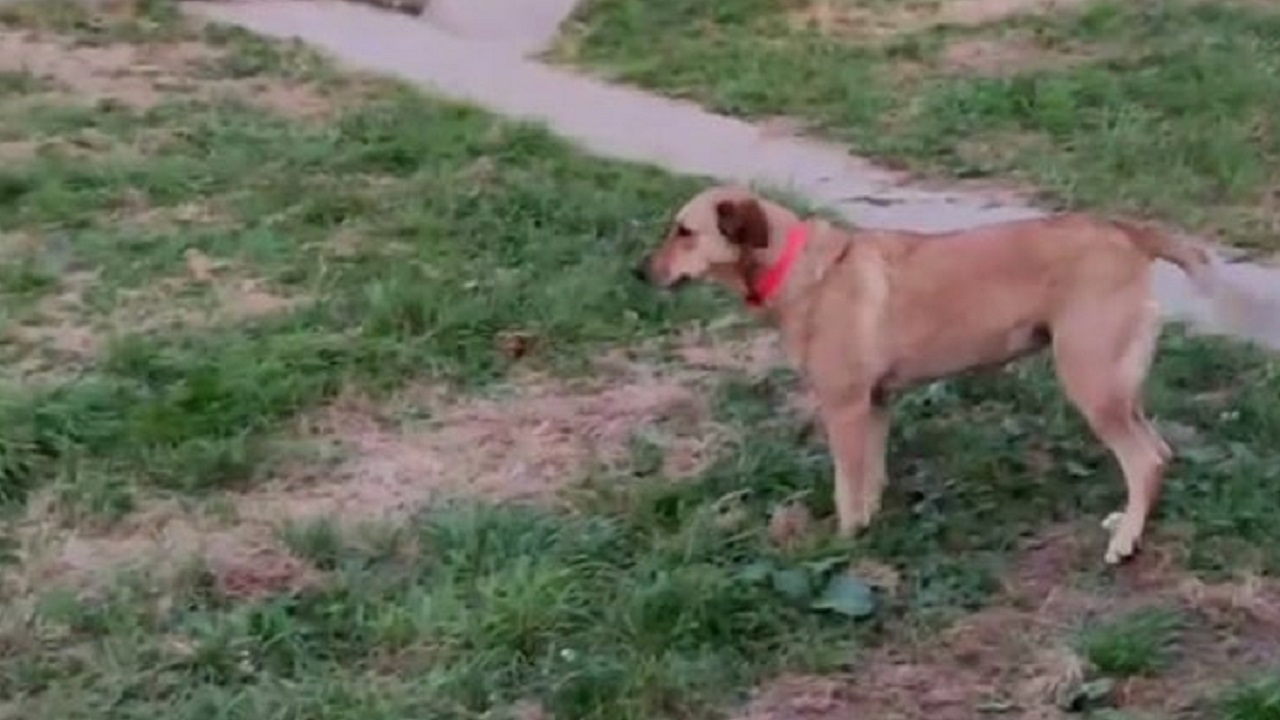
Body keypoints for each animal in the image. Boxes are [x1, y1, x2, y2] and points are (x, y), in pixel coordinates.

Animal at [637, 184, 1239, 566]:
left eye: (684, 231)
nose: (638, 272)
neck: (802, 270)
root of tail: (1126, 233)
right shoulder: (876, 404)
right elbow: (870, 479)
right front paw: (869, 526)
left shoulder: (845, 408)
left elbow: (845, 488)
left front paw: (843, 543)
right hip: (1119, 385)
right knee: (1159, 452)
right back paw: (1131, 522)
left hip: (1091, 383)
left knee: (1143, 459)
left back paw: (1126, 544)